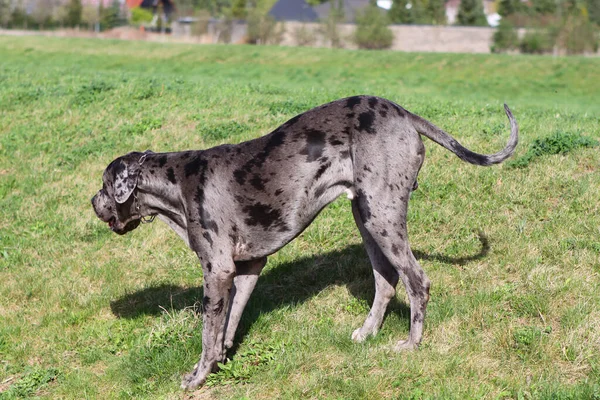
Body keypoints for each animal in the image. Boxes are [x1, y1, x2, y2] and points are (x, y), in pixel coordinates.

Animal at [91, 95, 516, 390]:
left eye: (105, 185)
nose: (93, 202)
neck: (177, 184)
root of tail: (401, 111)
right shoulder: (245, 270)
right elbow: (227, 326)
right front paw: (222, 363)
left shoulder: (217, 271)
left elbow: (208, 334)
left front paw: (197, 377)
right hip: (366, 218)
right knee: (386, 282)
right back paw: (367, 333)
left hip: (382, 217)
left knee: (417, 281)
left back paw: (412, 345)